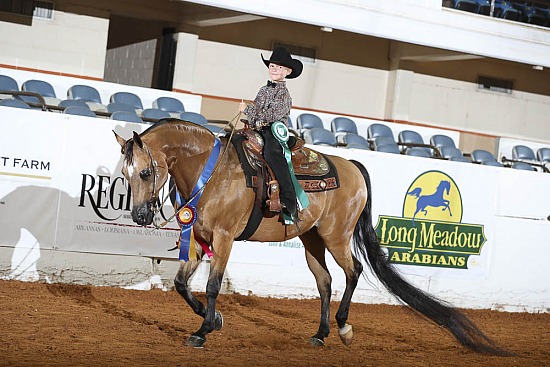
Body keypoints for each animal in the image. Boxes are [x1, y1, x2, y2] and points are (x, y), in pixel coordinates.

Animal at [113, 119, 512, 356]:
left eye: (146, 172)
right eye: (126, 174)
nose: (141, 216)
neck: (212, 175)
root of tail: (353, 167)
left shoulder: (224, 239)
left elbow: (211, 287)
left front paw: (204, 330)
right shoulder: (197, 237)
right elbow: (181, 284)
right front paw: (215, 320)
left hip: (337, 237)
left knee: (352, 272)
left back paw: (344, 327)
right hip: (312, 241)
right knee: (325, 281)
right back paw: (320, 333)